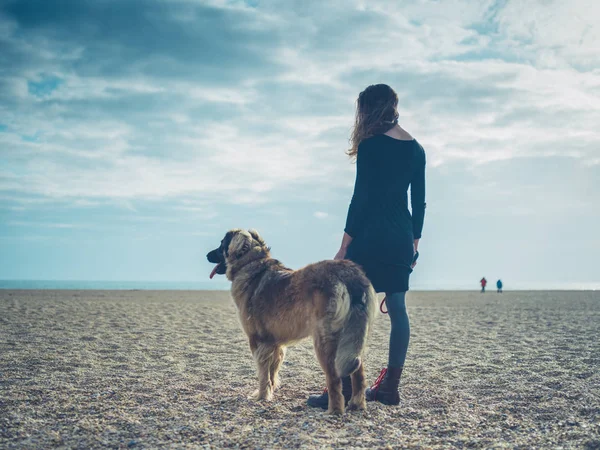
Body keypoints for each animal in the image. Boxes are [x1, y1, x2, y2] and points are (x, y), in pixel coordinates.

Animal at [206, 230, 376, 414]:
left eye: (221, 244)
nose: (207, 255)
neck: (250, 263)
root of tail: (348, 274)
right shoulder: (274, 343)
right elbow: (272, 372)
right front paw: (269, 392)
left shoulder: (258, 341)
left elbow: (263, 373)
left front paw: (261, 396)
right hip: (351, 338)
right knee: (358, 373)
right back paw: (357, 405)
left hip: (325, 341)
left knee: (335, 379)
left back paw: (334, 411)